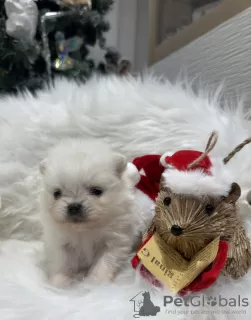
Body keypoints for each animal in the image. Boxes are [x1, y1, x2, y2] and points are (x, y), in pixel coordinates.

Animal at [40, 139, 140, 288]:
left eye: (96, 191)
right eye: (56, 193)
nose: (74, 207)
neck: (84, 230)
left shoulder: (113, 242)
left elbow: (103, 265)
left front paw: (95, 284)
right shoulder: (60, 244)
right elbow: (62, 265)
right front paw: (59, 283)